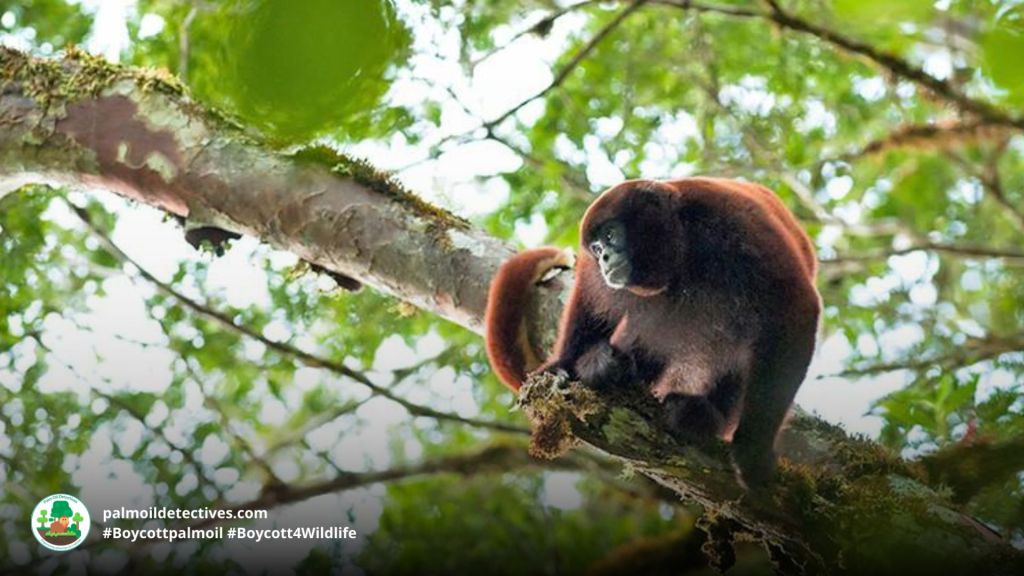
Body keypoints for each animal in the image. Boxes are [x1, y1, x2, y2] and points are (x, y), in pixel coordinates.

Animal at [484, 177, 820, 488]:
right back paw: (603, 366)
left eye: (611, 235)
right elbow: (590, 303)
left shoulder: (736, 227)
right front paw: (564, 365)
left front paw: (753, 450)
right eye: (596, 248)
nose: (604, 258)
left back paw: (702, 414)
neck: (684, 246)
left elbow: (794, 312)